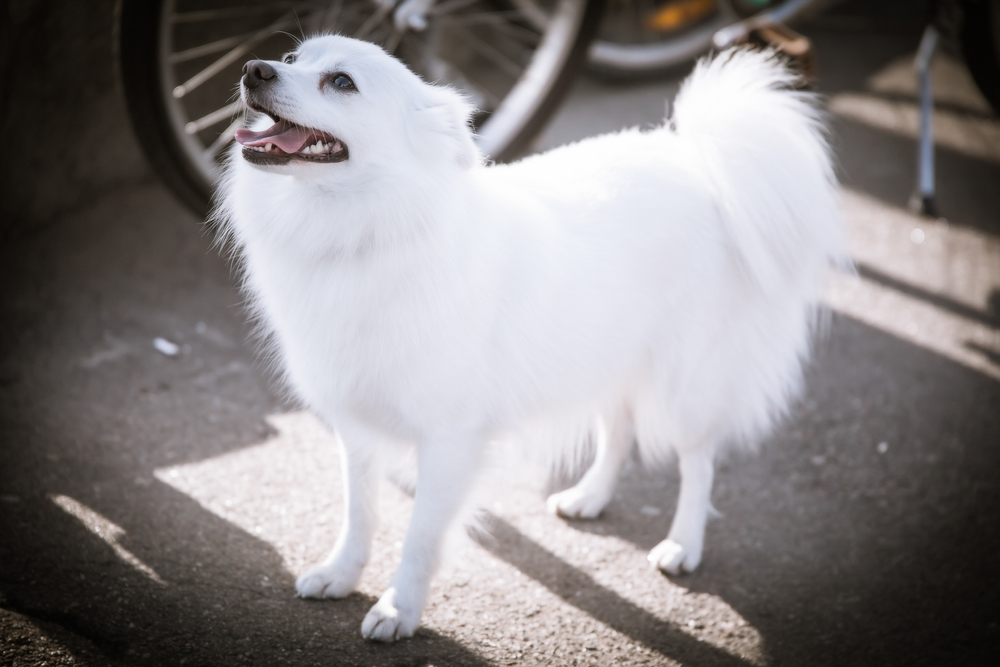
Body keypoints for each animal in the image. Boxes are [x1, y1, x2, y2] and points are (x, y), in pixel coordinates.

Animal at [215, 35, 848, 640]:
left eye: (342, 82)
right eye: (293, 56)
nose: (253, 69)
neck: (372, 229)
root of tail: (697, 161)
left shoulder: (449, 439)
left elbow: (421, 534)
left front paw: (399, 609)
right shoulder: (356, 426)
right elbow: (360, 513)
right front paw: (342, 575)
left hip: (685, 382)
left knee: (698, 462)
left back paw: (682, 546)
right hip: (606, 350)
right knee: (618, 429)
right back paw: (589, 497)